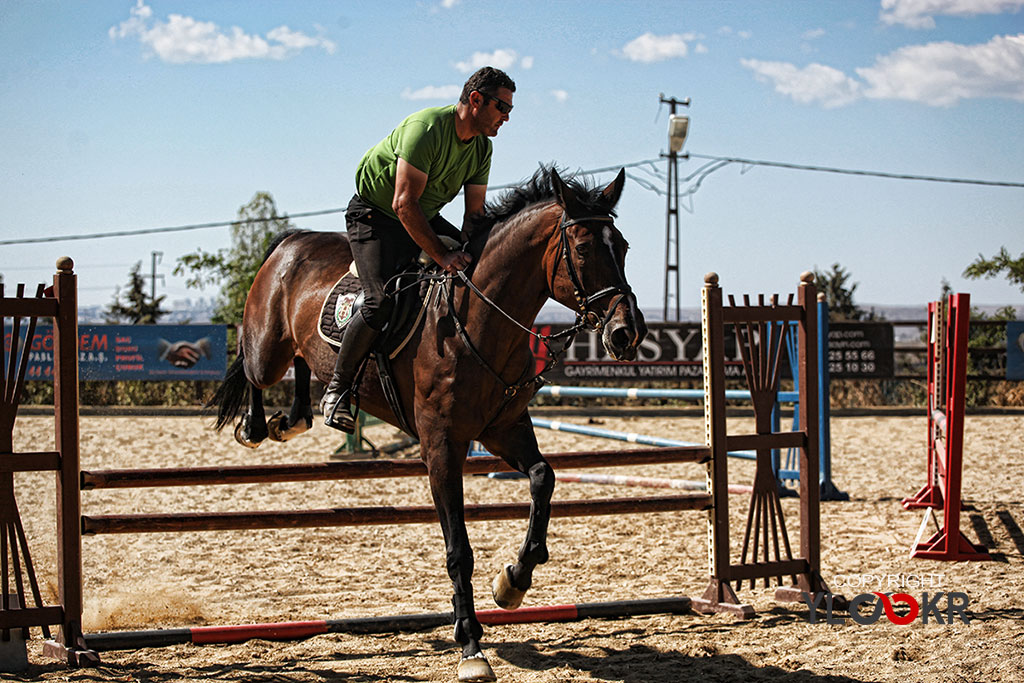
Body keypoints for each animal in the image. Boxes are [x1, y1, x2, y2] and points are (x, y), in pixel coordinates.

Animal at [210, 166, 647, 683]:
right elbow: (459, 550)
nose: (628, 332)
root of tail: (291, 241)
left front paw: (513, 582)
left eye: (622, 246)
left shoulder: (503, 429)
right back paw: (259, 425)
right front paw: (472, 648)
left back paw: (295, 419)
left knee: (302, 364)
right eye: (582, 249)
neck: (476, 322)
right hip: (267, 349)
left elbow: (544, 478)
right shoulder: (441, 447)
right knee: (251, 361)